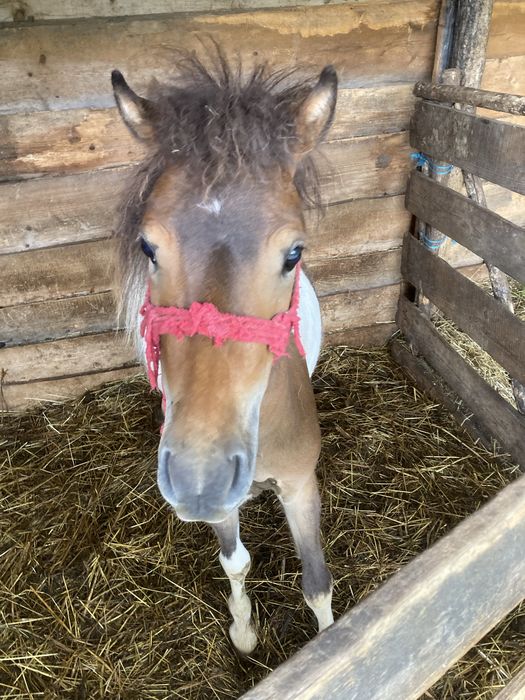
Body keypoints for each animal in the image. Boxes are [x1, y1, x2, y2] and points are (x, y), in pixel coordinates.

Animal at [111, 51, 337, 655]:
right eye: (148, 246)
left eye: (294, 252)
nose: (199, 478)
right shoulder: (221, 504)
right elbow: (235, 561)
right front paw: (244, 631)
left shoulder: (300, 484)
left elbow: (317, 583)